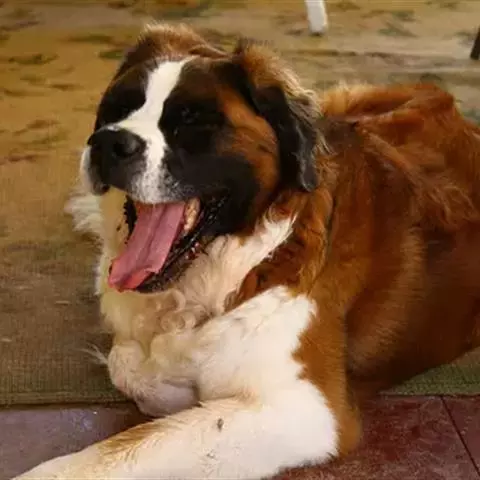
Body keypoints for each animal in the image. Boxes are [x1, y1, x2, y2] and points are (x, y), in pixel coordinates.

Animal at [16, 23, 480, 480]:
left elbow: (127, 447)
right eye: (117, 108)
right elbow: (130, 366)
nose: (107, 142)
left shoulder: (307, 410)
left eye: (193, 121)